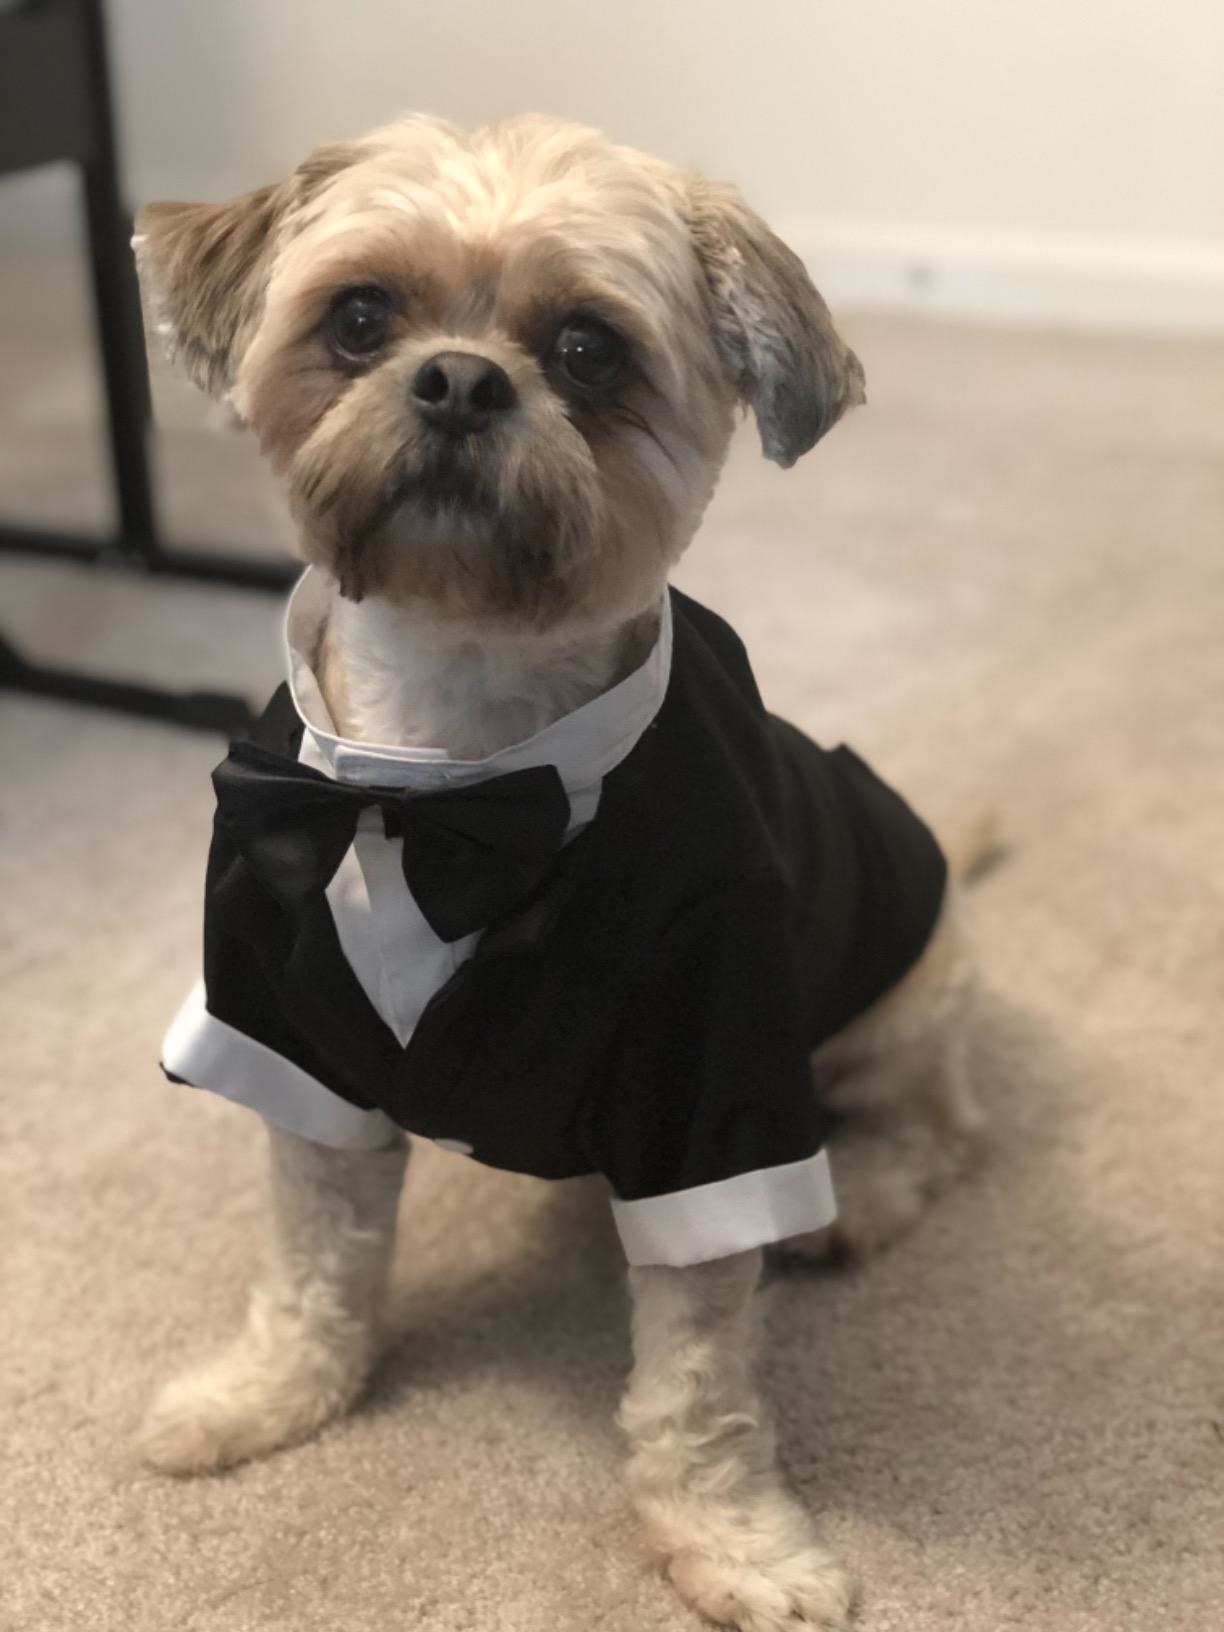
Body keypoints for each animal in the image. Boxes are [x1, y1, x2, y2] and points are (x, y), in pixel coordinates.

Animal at [138, 118, 992, 1632]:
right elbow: (313, 1268)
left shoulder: (711, 1083)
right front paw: (266, 1398)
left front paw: (734, 1542)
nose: (459, 379)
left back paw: (860, 1206)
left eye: (588, 349)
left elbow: (701, 1385)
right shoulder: (283, 1027)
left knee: (944, 1130)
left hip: (898, 1000)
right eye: (360, 318)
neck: (447, 779)